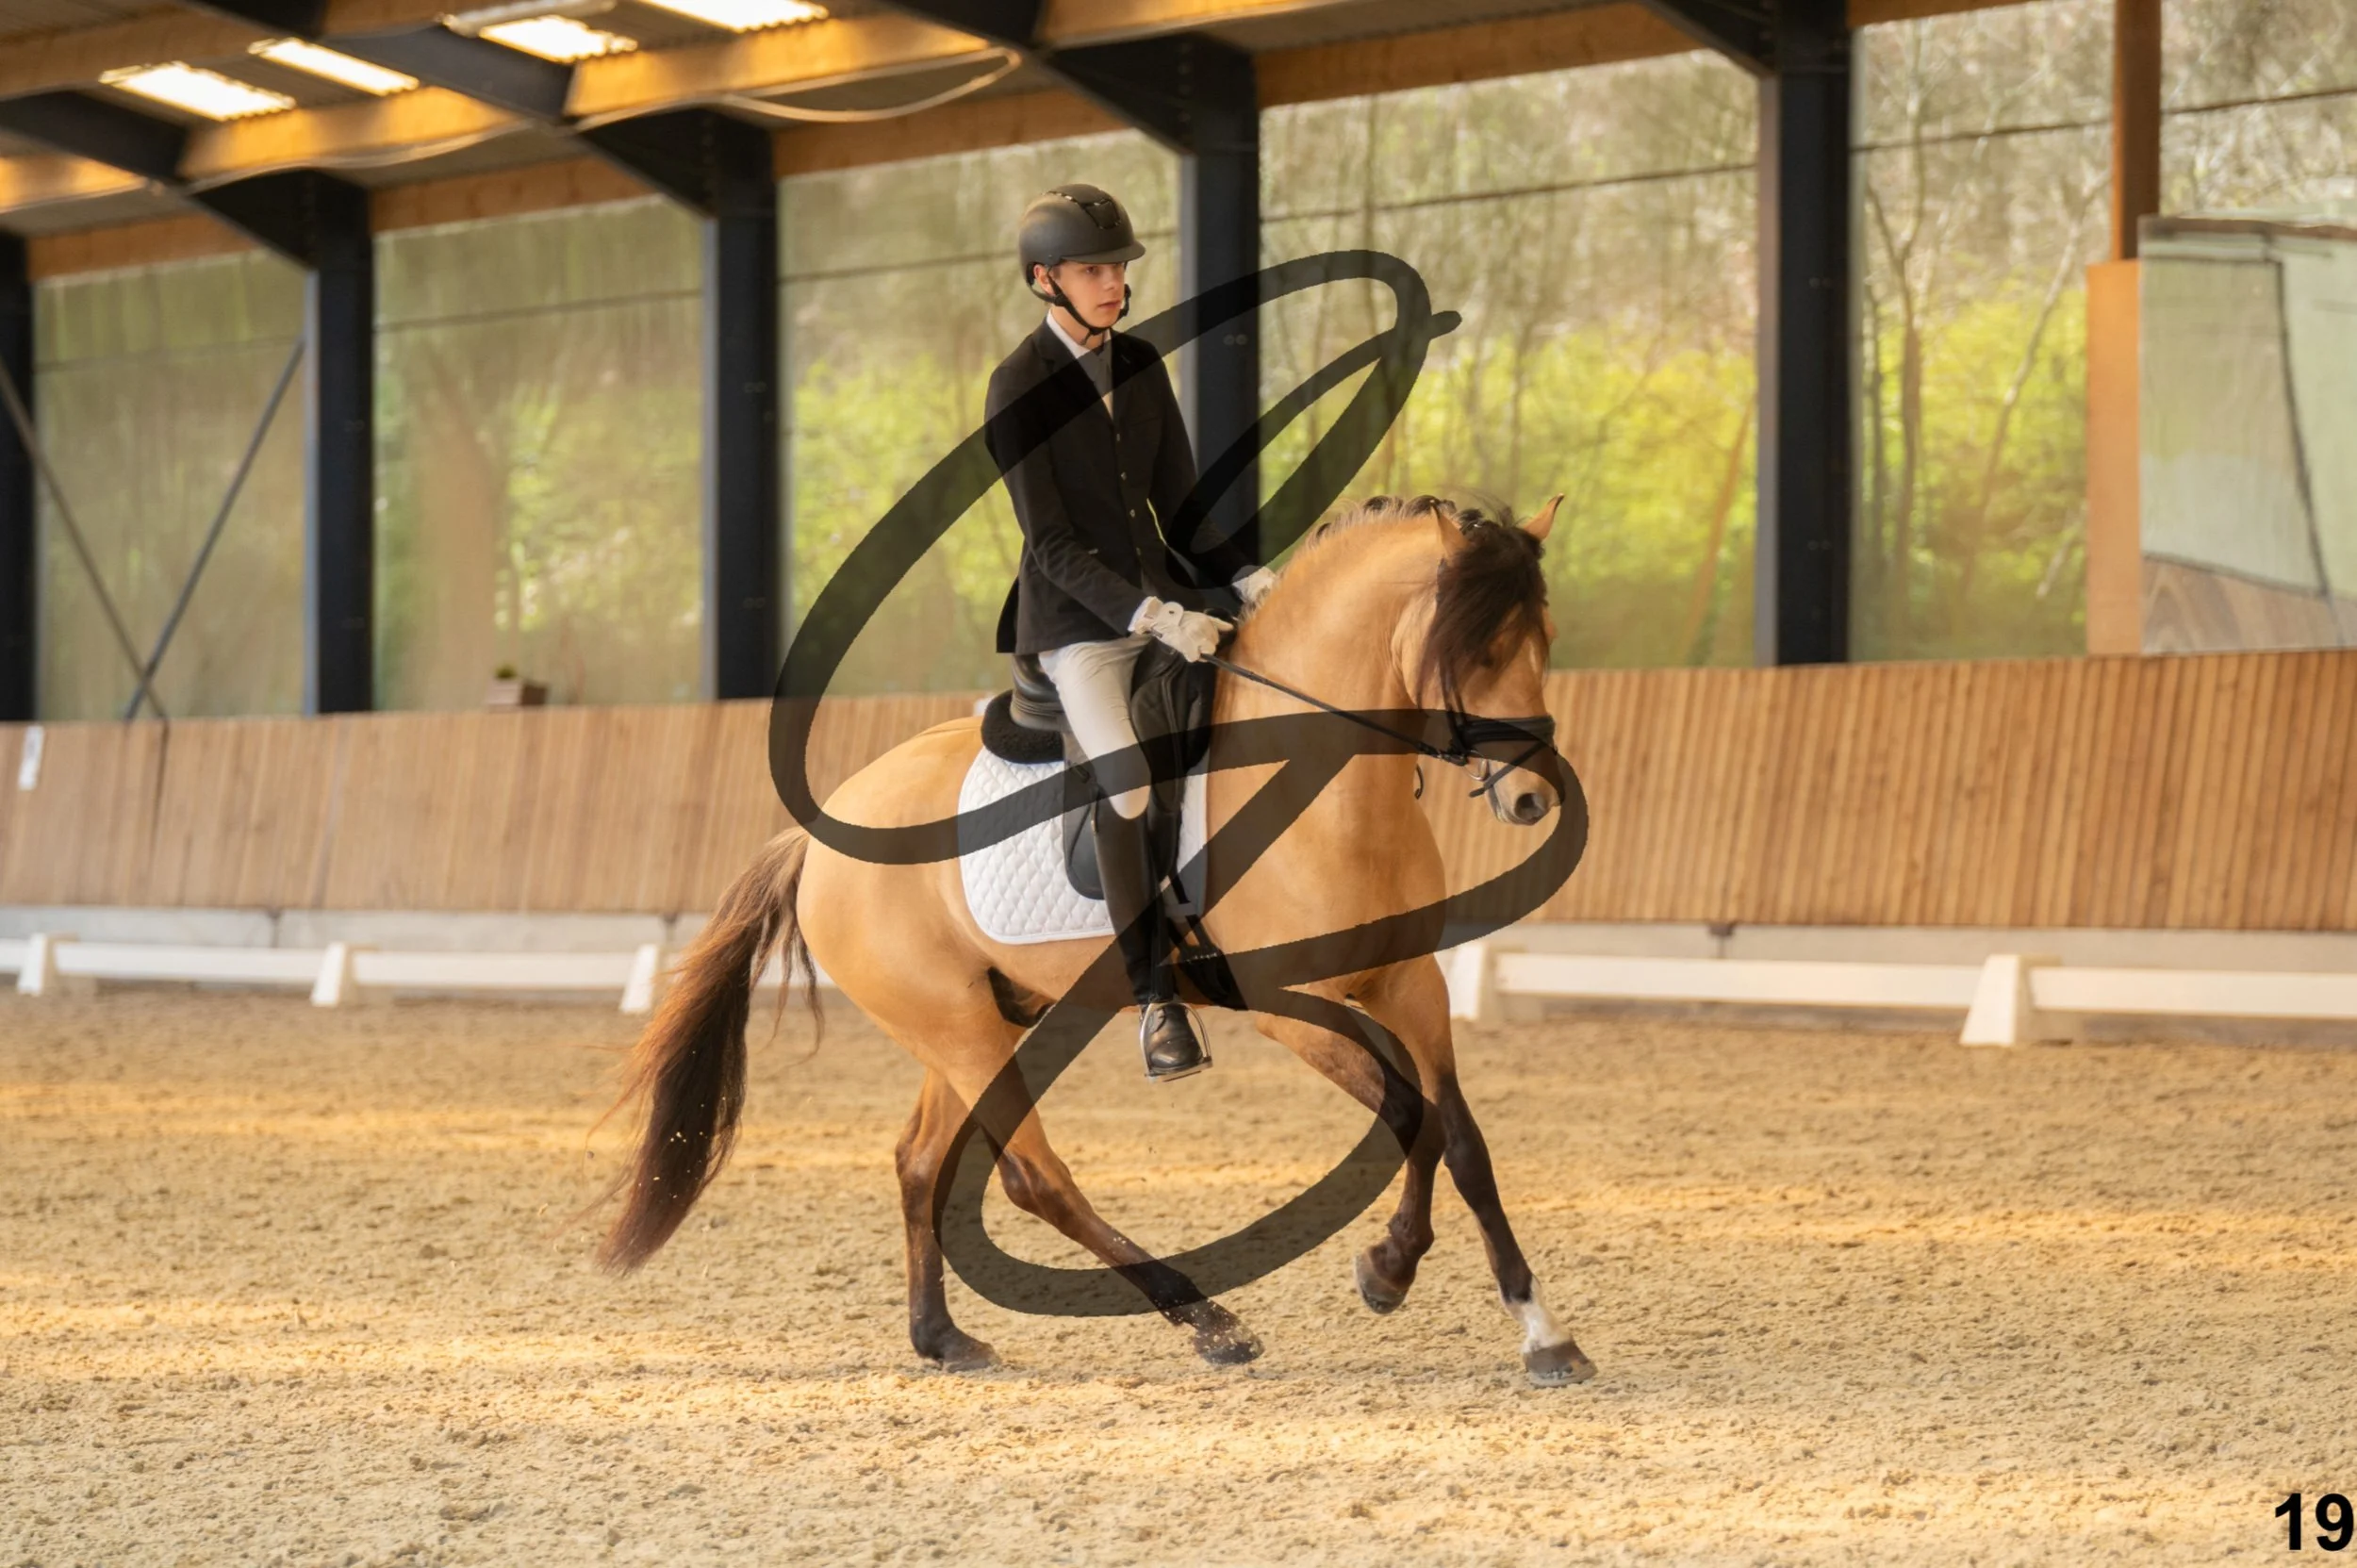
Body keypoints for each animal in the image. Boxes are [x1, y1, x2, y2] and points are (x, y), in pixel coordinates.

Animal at [597, 491, 1597, 1388]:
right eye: (1480, 648)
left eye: (1547, 641)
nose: (1532, 798)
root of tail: (817, 835)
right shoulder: (1292, 1011)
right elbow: (1409, 1116)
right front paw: (1387, 1268)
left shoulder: (1412, 982)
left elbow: (1460, 1136)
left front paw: (1540, 1329)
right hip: (959, 1028)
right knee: (1034, 1176)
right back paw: (1210, 1322)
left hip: (973, 1020)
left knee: (920, 1160)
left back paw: (943, 1338)